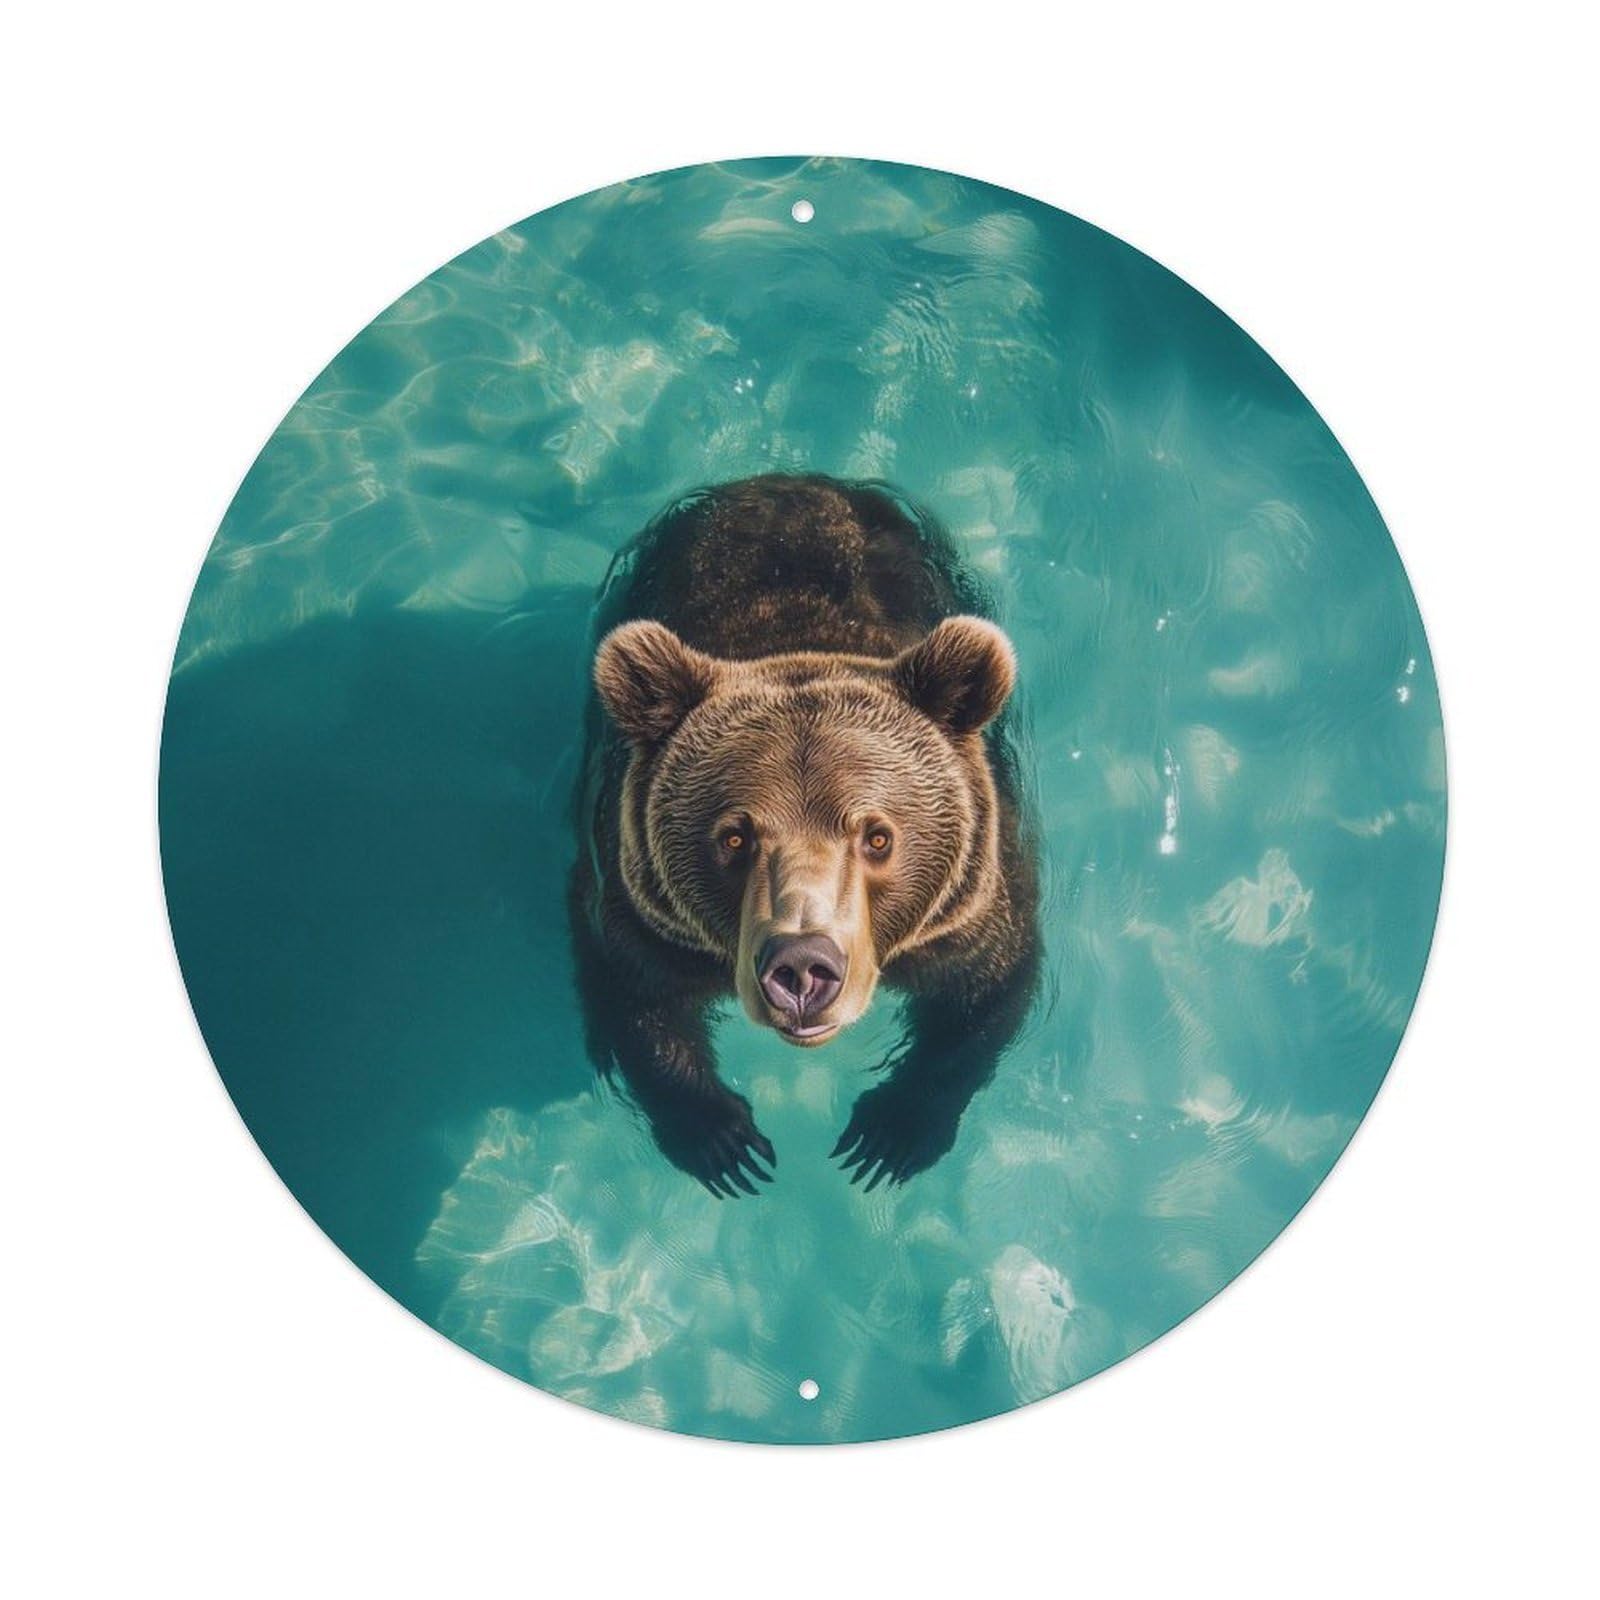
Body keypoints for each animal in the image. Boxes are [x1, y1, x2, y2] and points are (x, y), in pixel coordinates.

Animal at [569, 474, 1039, 1195]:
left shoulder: (968, 904)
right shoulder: (639, 903)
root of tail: (782, 478)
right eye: (734, 838)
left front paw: (890, 1135)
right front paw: (723, 1141)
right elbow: (634, 995)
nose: (802, 965)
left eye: (877, 837)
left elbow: (986, 992)